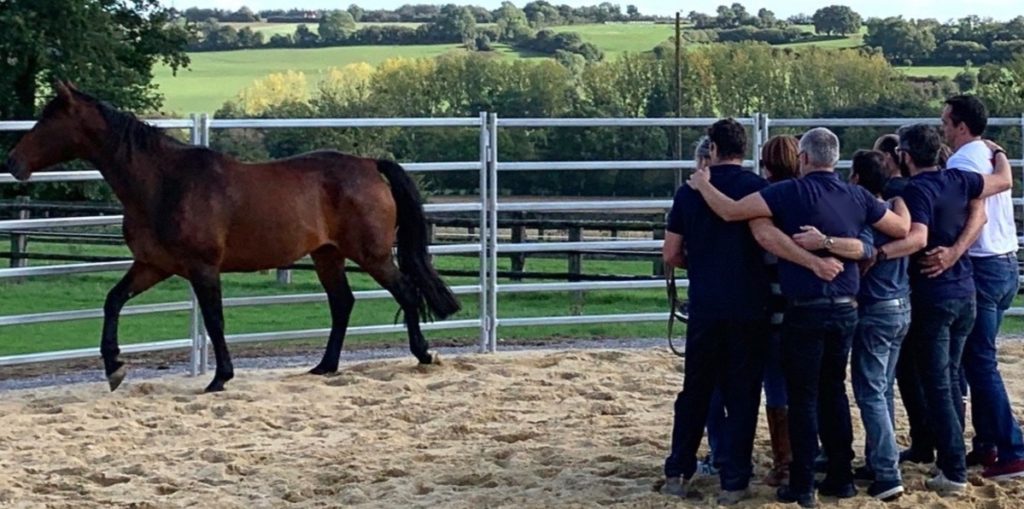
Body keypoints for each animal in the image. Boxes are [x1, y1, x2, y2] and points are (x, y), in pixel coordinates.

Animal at [4, 82, 460, 393]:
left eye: (49, 120)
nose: (12, 162)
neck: (165, 182)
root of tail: (369, 164)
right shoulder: (153, 266)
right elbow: (113, 301)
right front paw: (114, 368)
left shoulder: (203, 268)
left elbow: (215, 320)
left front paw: (220, 378)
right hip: (326, 255)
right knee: (343, 304)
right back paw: (324, 367)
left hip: (372, 254)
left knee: (404, 292)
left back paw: (423, 354)